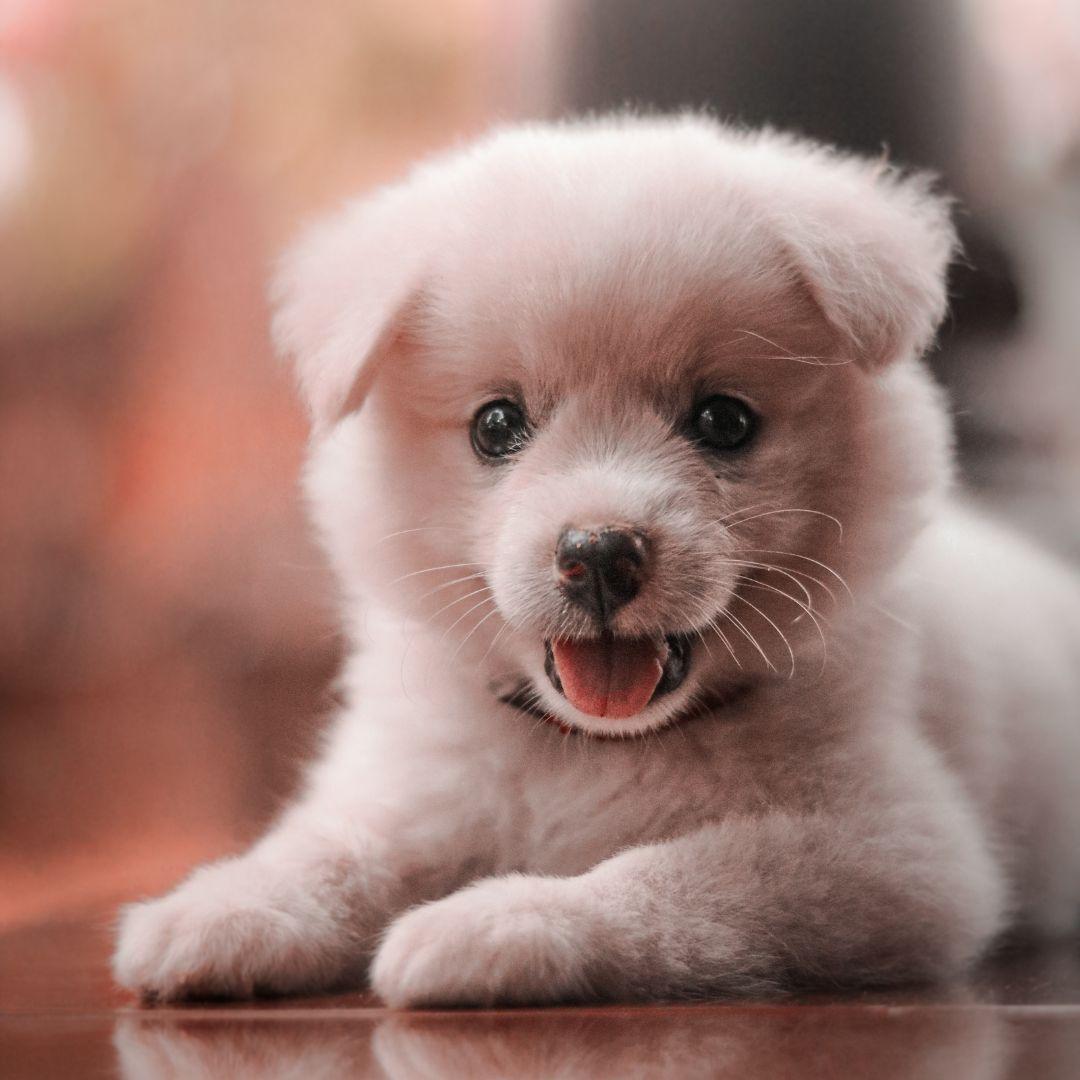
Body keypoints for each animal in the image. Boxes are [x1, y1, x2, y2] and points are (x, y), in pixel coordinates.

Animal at [109, 116, 1080, 1002]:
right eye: (496, 425)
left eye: (723, 420)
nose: (600, 554)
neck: (590, 747)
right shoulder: (416, 784)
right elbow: (337, 845)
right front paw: (227, 906)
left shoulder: (899, 848)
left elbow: (679, 874)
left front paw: (499, 923)